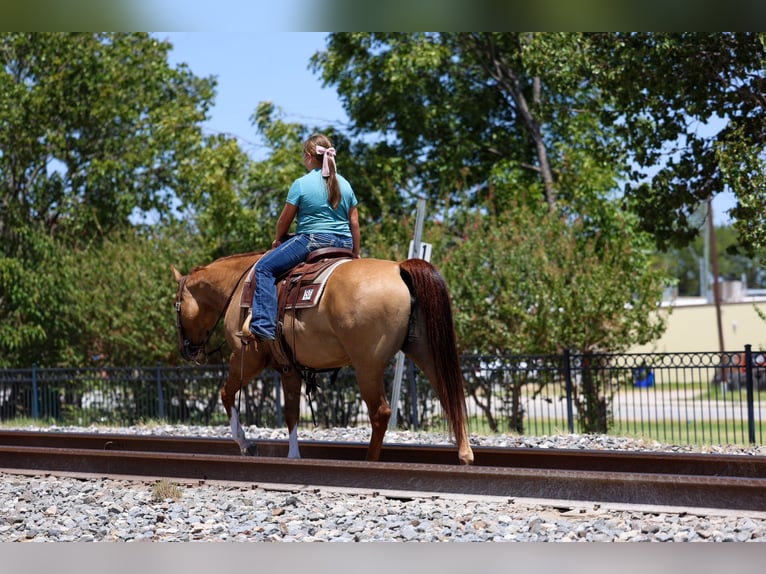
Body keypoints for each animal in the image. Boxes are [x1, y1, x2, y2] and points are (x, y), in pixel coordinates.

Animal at [171, 251, 474, 465]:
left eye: (176, 305)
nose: (187, 350)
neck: (241, 287)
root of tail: (399, 268)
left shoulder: (246, 358)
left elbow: (226, 394)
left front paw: (247, 444)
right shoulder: (288, 368)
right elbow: (292, 413)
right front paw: (294, 455)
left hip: (368, 365)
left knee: (381, 412)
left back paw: (370, 461)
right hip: (425, 351)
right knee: (449, 395)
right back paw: (465, 455)